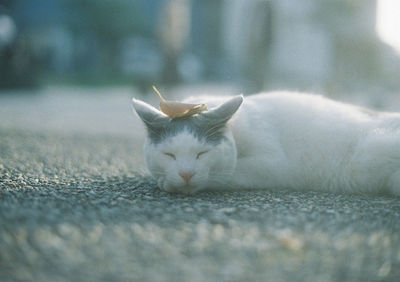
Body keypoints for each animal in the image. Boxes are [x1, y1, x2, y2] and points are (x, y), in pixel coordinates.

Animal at [132, 91, 400, 195]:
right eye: (169, 154)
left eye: (202, 153)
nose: (186, 174)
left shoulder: (273, 163)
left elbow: (226, 174)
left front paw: (168, 183)